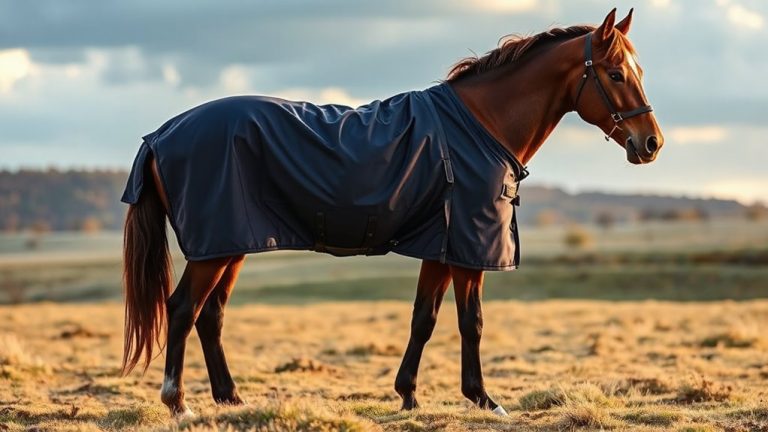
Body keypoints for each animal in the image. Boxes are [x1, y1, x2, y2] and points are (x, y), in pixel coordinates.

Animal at [119, 8, 664, 417]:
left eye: (638, 72)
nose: (651, 144)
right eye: (616, 74)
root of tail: (161, 134)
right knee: (182, 309)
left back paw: (231, 399)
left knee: (210, 315)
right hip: (214, 249)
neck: (479, 127)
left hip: (233, 244)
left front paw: (408, 396)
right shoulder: (467, 250)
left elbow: (424, 318)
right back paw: (179, 404)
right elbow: (472, 322)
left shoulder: (440, 246)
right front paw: (483, 399)